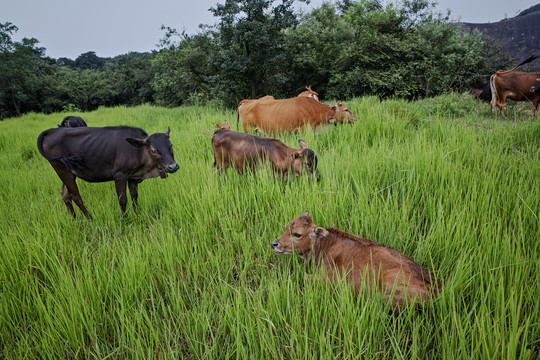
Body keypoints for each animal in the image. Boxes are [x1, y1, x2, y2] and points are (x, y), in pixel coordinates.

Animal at [37, 125, 179, 219]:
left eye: (171, 145)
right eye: (153, 150)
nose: (173, 166)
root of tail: (51, 130)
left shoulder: (133, 177)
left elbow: (134, 197)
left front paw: (137, 214)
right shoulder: (119, 175)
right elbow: (123, 200)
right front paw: (124, 220)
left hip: (69, 172)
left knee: (65, 194)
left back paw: (74, 219)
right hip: (62, 169)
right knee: (75, 196)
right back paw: (90, 219)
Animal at [272, 211, 440, 310]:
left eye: (297, 234)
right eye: (286, 227)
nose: (274, 244)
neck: (323, 246)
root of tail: (436, 287)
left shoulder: (326, 279)